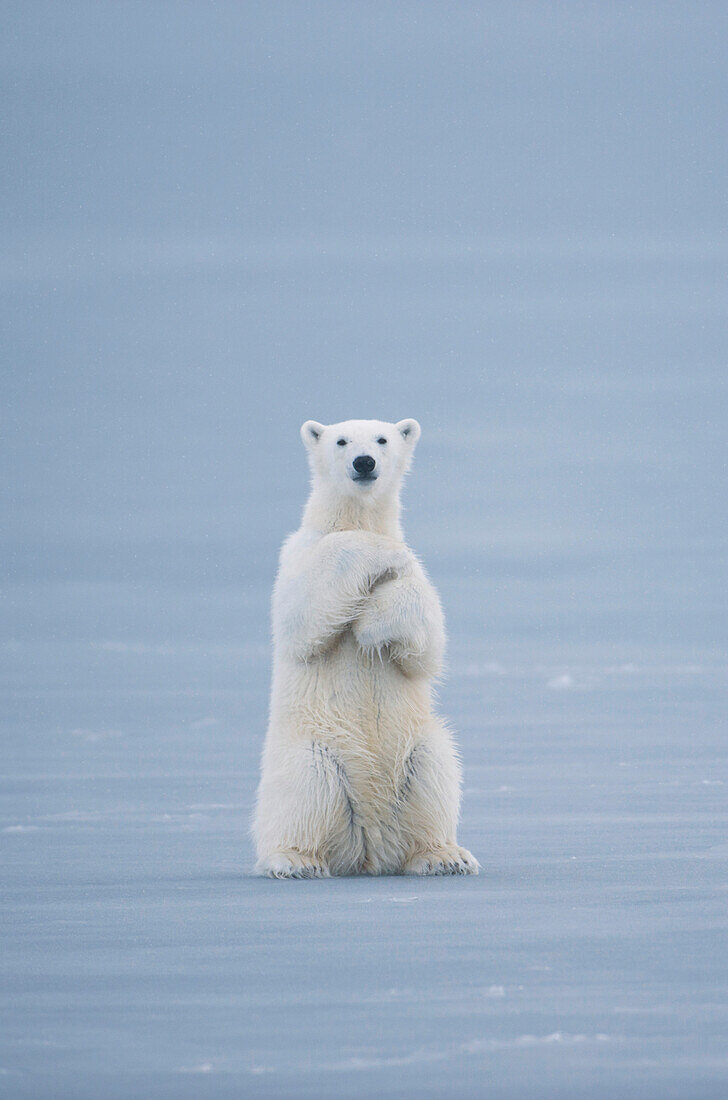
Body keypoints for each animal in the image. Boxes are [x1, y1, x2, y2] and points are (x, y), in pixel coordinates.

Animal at [254, 415, 481, 880]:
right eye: (341, 440)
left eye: (382, 438)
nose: (364, 462)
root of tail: (369, 847)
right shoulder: (297, 555)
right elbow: (301, 617)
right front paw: (375, 554)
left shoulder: (419, 578)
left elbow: (427, 643)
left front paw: (372, 628)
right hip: (313, 748)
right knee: (306, 786)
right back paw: (295, 860)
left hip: (416, 746)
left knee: (436, 769)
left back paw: (444, 856)